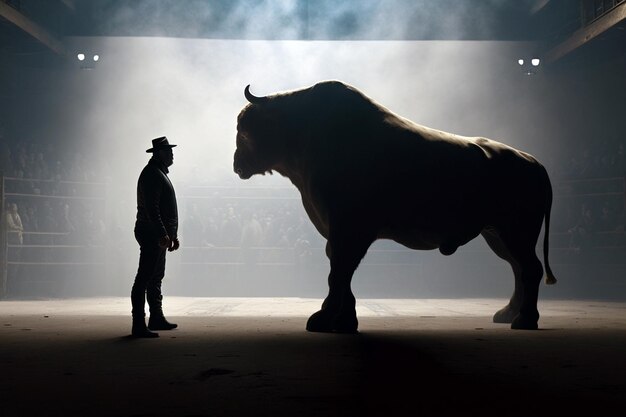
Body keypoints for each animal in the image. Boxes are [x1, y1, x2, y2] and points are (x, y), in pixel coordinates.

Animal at [232, 79, 552, 330]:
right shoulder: (341, 233)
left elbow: (339, 271)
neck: (305, 132)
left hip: (515, 234)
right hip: (497, 234)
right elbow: (341, 271)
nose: (236, 164)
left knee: (530, 269)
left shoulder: (349, 230)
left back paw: (524, 320)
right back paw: (507, 314)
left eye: (244, 130)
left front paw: (324, 319)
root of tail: (534, 163)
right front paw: (344, 320)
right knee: (518, 269)